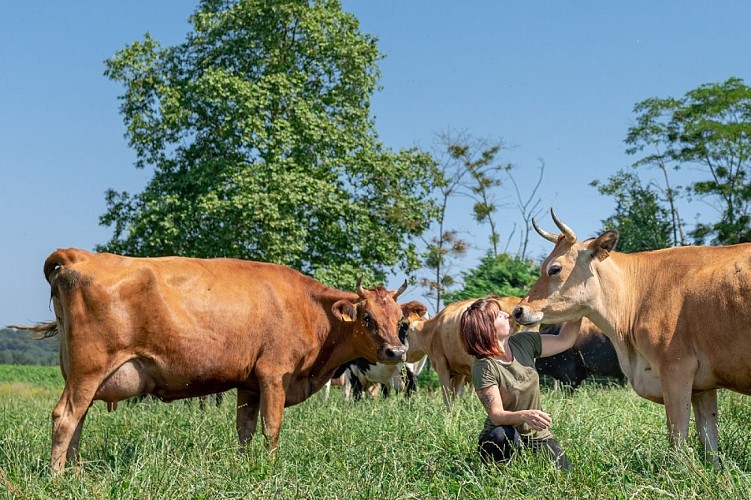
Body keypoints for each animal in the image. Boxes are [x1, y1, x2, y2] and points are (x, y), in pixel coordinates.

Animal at [14, 248, 420, 473]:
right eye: (367, 317)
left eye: (400, 320)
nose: (396, 353)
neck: (307, 308)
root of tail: (79, 256)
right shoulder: (274, 374)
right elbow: (271, 428)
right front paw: (271, 468)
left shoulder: (249, 383)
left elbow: (244, 429)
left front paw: (245, 466)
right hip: (89, 368)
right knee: (65, 417)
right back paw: (57, 477)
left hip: (81, 374)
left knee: (78, 420)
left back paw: (75, 473)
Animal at [513, 208, 751, 464]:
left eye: (554, 269)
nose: (518, 310)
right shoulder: (704, 384)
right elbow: (709, 440)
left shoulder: (676, 369)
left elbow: (677, 436)